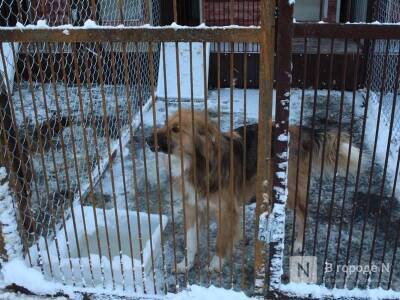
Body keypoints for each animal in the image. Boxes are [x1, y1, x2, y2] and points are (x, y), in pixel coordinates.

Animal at [146, 110, 360, 272]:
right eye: (164, 124)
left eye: (175, 129)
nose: (148, 140)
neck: (198, 165)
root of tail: (295, 129)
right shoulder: (192, 206)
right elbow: (190, 242)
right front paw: (186, 264)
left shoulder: (227, 212)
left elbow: (221, 241)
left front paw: (216, 264)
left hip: (290, 189)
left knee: (302, 213)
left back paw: (298, 243)